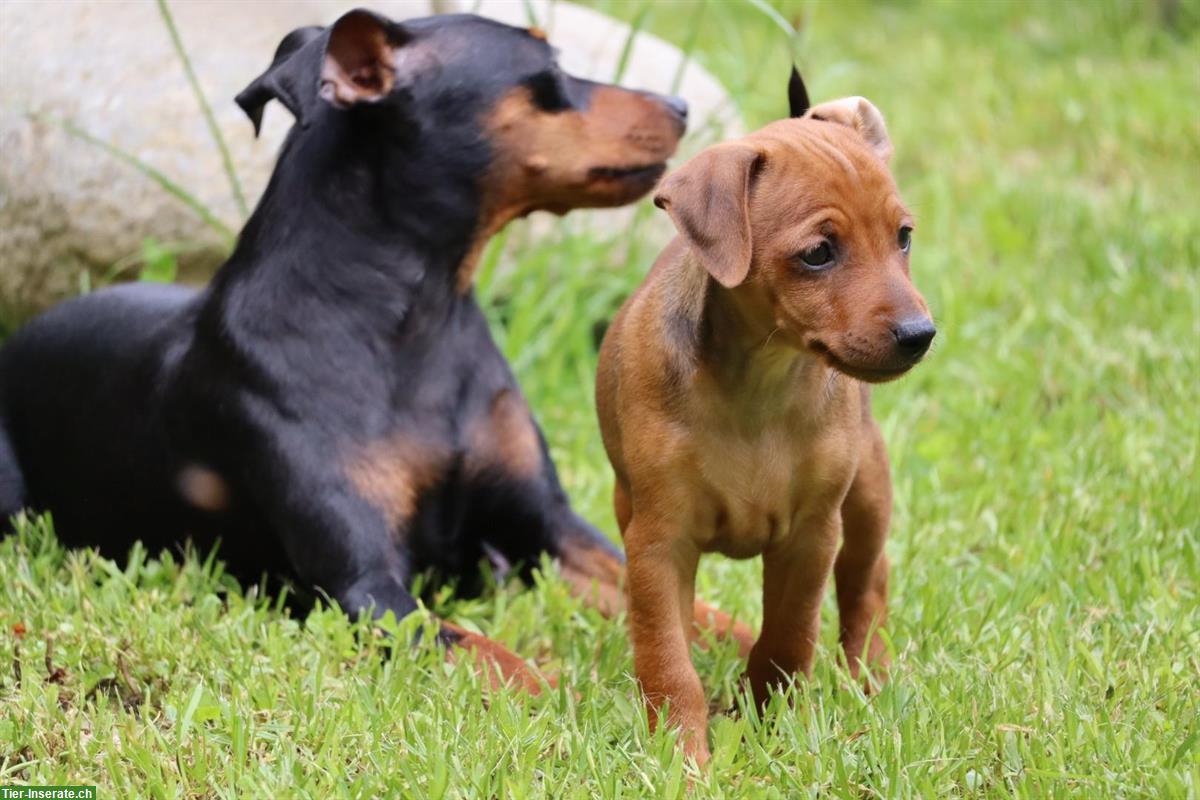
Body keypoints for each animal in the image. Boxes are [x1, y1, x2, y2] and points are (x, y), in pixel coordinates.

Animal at [0, 7, 734, 690]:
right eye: (549, 68)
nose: (682, 105)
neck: (419, 321)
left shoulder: (551, 528)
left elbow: (699, 610)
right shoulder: (366, 587)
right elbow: (498, 659)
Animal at [600, 73, 936, 762]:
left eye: (904, 237)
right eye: (818, 253)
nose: (920, 334)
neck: (759, 387)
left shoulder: (812, 536)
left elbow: (788, 636)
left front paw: (769, 722)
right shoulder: (658, 543)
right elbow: (667, 657)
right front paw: (683, 754)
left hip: (867, 494)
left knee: (867, 582)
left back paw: (869, 679)